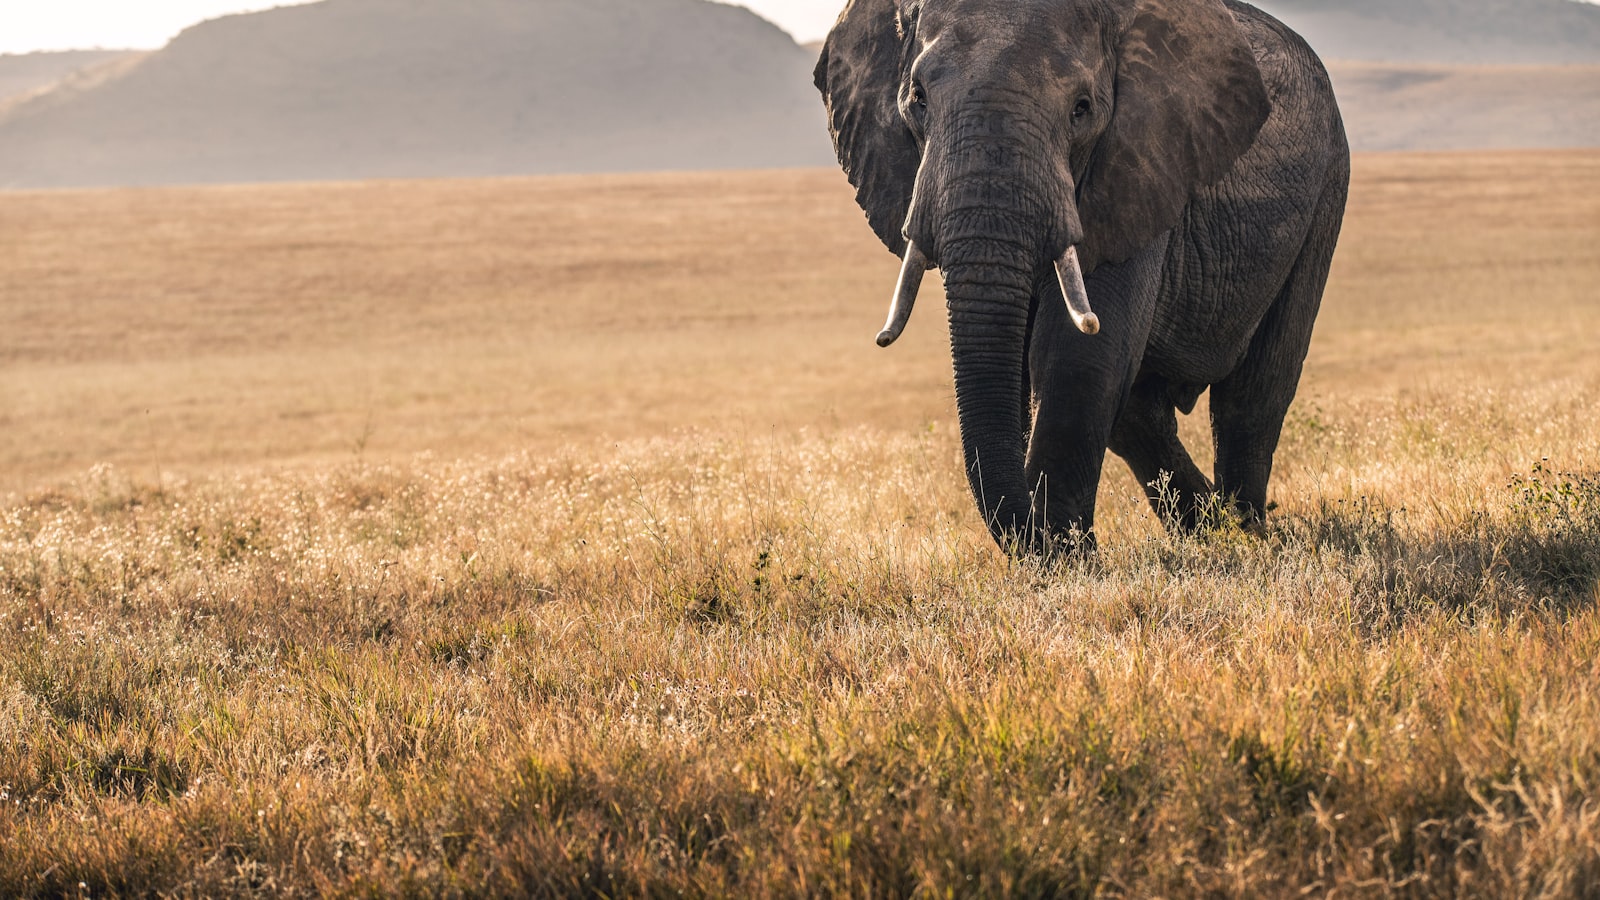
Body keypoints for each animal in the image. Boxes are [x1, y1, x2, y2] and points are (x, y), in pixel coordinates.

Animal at [814, 0, 1349, 555]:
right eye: (917, 100)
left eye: (1082, 108)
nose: (1038, 534)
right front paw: (1061, 551)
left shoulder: (1136, 167)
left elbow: (1078, 355)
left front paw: (1065, 557)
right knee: (1140, 413)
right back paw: (1210, 528)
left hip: (1327, 189)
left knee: (1254, 392)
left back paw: (1246, 533)